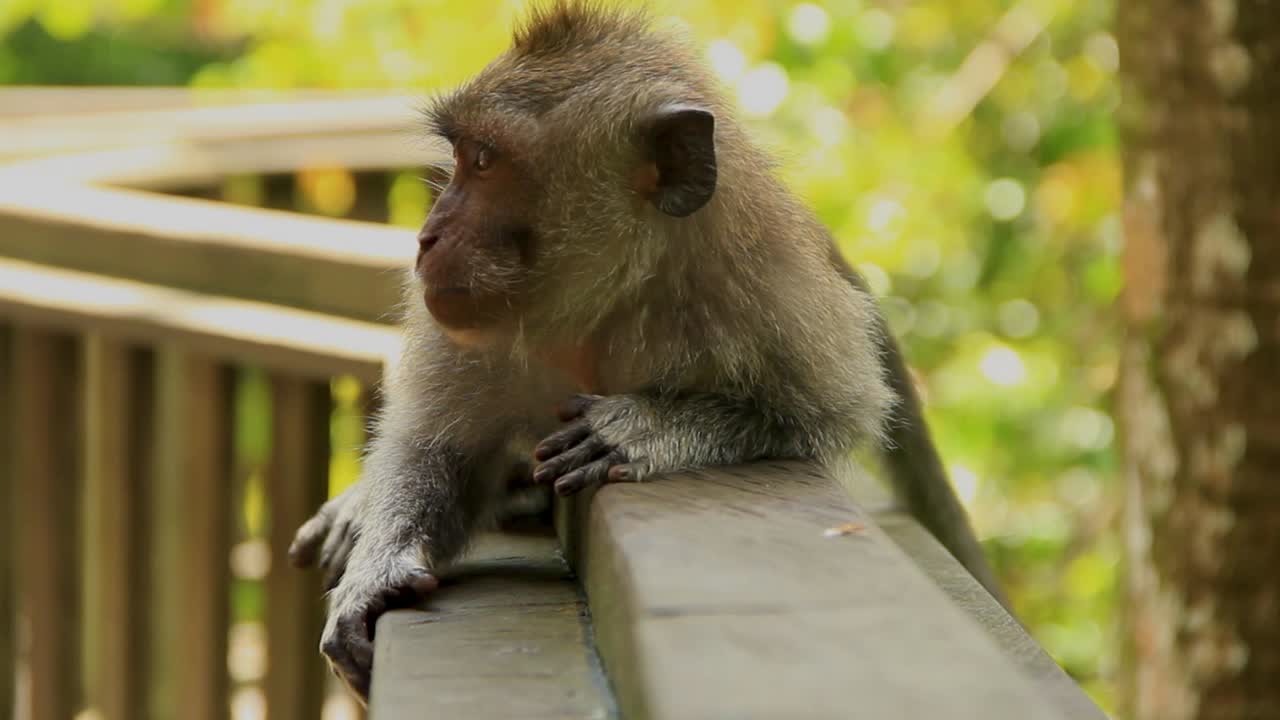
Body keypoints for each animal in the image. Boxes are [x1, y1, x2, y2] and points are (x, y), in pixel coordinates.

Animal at [288, 1, 1006, 701]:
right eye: (461, 157)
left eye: (485, 162)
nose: (428, 236)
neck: (604, 303)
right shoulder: (459, 329)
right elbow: (438, 450)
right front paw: (376, 571)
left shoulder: (772, 299)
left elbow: (829, 413)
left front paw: (646, 426)